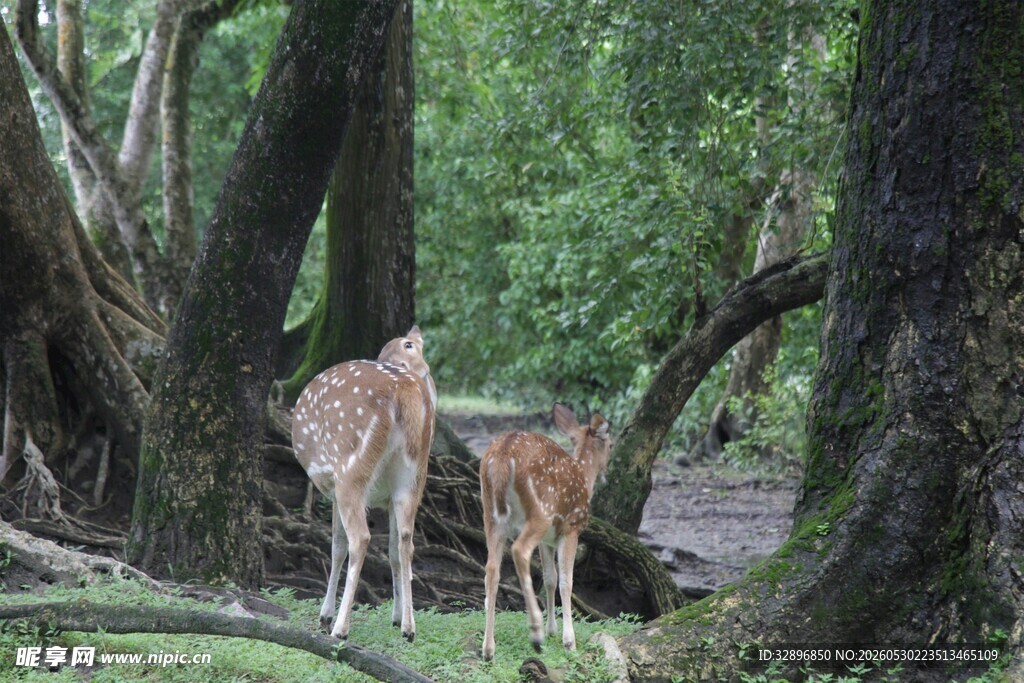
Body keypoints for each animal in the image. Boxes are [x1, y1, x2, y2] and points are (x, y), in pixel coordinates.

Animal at [292, 326, 436, 642]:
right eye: (408, 345)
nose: (425, 370)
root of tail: (405, 389)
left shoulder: (333, 487)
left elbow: (337, 545)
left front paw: (325, 615)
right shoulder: (389, 498)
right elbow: (393, 550)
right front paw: (396, 617)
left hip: (349, 466)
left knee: (360, 538)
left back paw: (340, 628)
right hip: (413, 477)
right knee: (406, 541)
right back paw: (409, 628)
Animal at [479, 403, 612, 661]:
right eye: (611, 444)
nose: (607, 471)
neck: (584, 476)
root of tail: (503, 456)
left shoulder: (548, 540)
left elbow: (550, 578)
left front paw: (553, 629)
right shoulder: (571, 528)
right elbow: (566, 581)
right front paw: (568, 640)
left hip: (491, 513)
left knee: (491, 568)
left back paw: (488, 648)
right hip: (541, 511)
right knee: (519, 551)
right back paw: (535, 632)